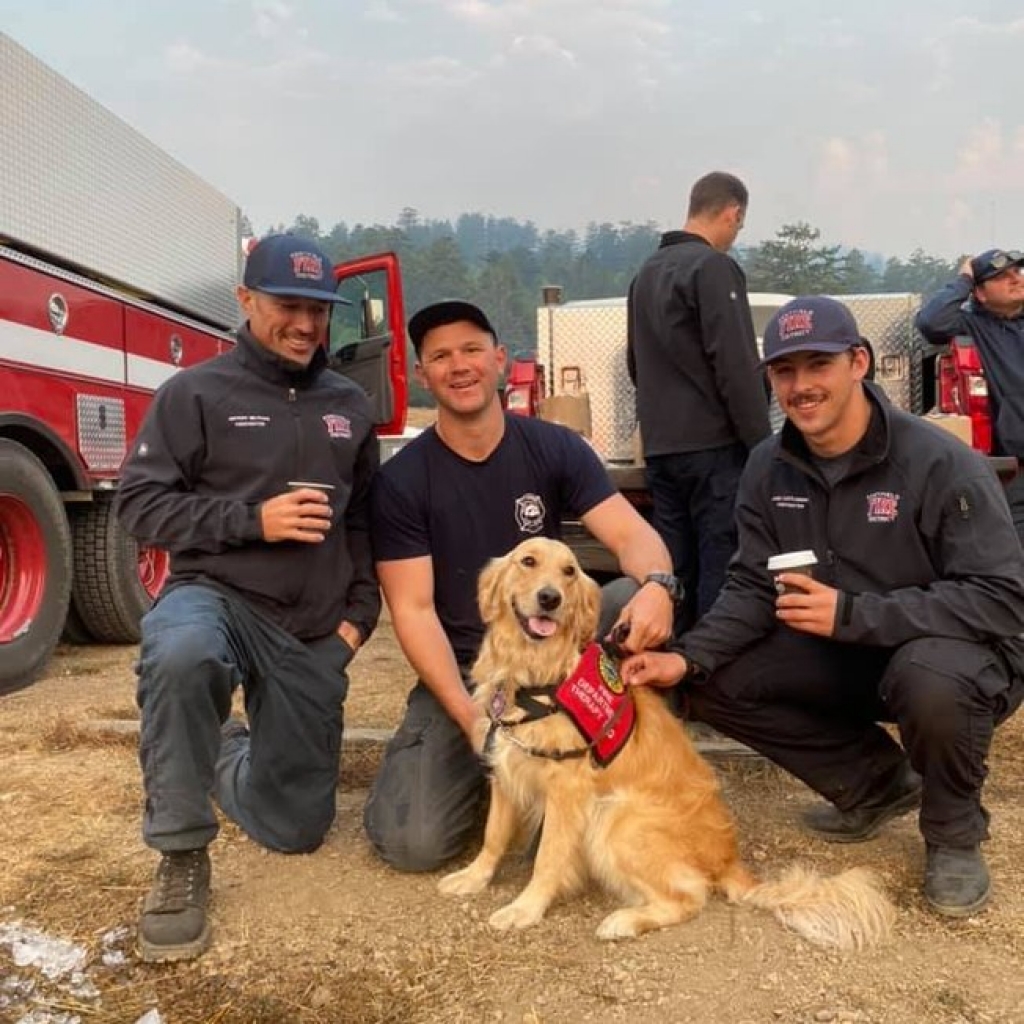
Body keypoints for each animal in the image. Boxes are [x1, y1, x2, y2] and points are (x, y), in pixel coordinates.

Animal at [440, 540, 897, 946]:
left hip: (617, 818)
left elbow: (548, 857)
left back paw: (625, 921)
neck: (535, 675)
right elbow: (493, 835)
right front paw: (473, 876)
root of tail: (728, 857)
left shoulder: (568, 790)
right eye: (528, 561)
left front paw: (526, 908)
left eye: (569, 571)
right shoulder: (504, 764)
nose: (550, 598)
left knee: (691, 896)